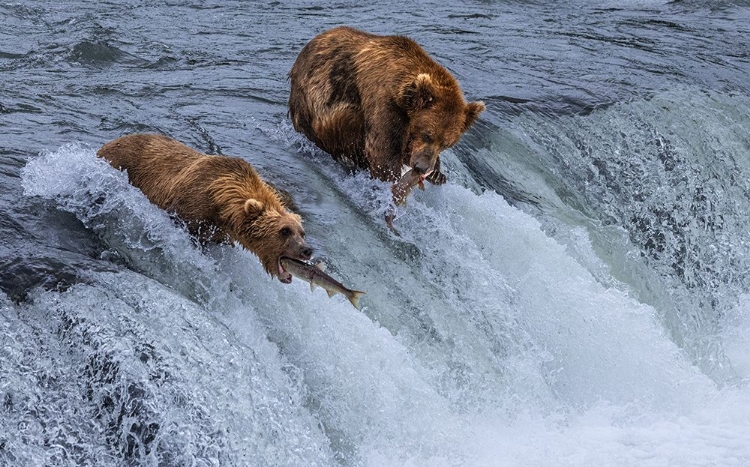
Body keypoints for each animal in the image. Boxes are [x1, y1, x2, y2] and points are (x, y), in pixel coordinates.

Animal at [97, 133, 314, 284]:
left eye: (302, 233)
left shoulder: (220, 231)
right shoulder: (189, 207)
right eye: (284, 231)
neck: (220, 202)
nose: (307, 250)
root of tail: (106, 145)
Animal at [288, 26, 488, 207]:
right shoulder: (384, 104)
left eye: (447, 143)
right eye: (427, 134)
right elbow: (383, 152)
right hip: (314, 106)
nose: (422, 167)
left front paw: (438, 173)